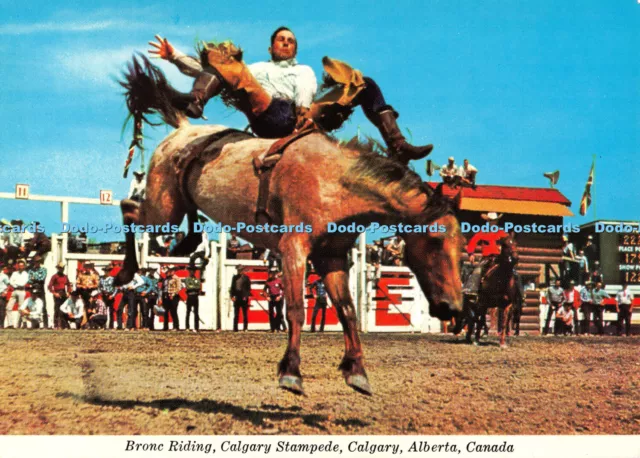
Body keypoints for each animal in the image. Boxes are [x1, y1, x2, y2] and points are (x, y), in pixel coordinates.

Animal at [117, 56, 462, 394]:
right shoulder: (294, 249)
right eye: (434, 240)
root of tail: (184, 129)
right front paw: (291, 372)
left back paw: (186, 242)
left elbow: (347, 310)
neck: (334, 182)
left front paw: (356, 371)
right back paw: (125, 271)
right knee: (129, 208)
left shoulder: (331, 257)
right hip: (162, 210)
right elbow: (296, 308)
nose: (454, 308)